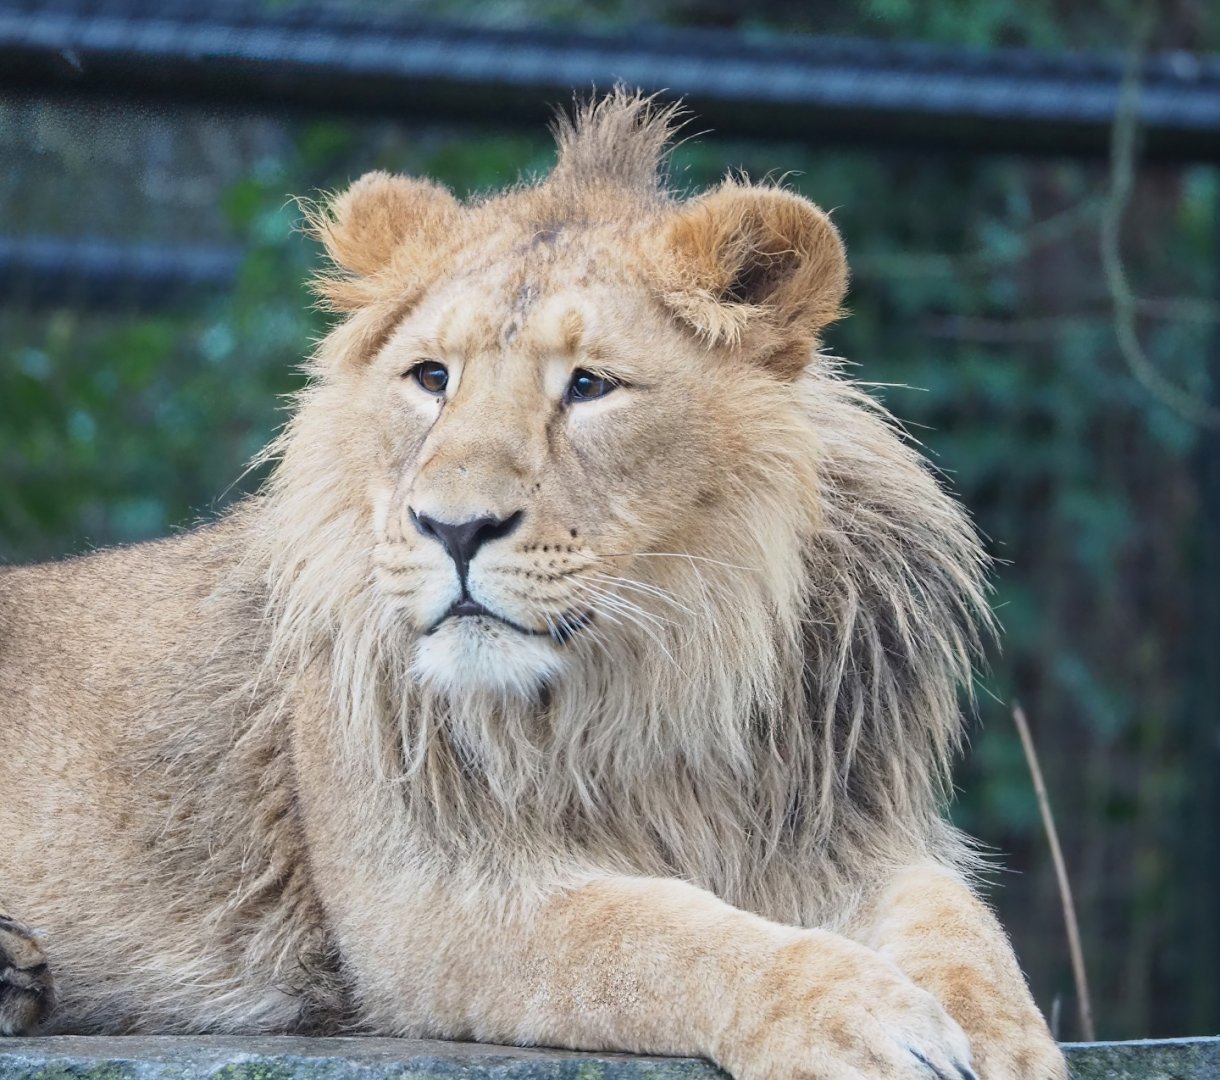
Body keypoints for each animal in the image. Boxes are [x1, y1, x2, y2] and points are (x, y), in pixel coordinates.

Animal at [0, 91, 1065, 1079]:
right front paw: (854, 1015)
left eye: (589, 385)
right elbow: (654, 937)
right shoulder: (427, 898)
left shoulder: (847, 833)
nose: (454, 527)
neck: (668, 676)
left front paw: (1007, 1047)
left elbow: (967, 932)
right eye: (432, 377)